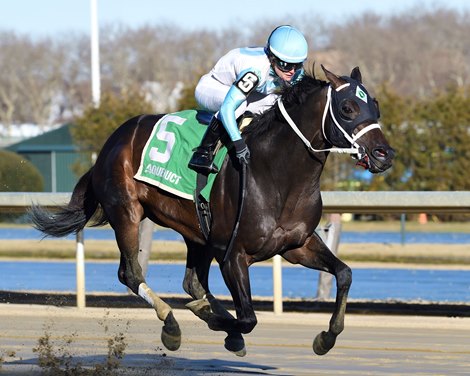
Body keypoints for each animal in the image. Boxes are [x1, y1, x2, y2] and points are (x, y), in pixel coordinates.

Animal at [31, 65, 394, 358]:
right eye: (347, 107)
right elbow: (247, 318)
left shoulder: (296, 245)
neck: (277, 173)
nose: (384, 154)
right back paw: (172, 325)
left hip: (197, 233)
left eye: (375, 105)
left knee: (192, 282)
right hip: (127, 212)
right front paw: (217, 321)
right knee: (131, 274)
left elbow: (344, 274)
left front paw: (325, 338)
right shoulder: (232, 253)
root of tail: (113, 140)